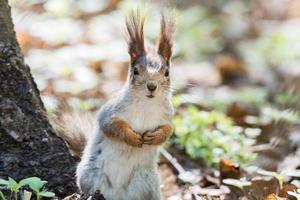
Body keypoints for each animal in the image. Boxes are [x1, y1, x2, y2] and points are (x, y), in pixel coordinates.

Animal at [56, 11, 176, 200]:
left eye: (167, 72)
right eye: (135, 71)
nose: (151, 86)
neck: (146, 104)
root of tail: (118, 195)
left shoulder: (167, 116)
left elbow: (168, 130)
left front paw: (155, 137)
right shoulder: (111, 111)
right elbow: (111, 126)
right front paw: (132, 138)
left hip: (147, 179)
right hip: (91, 174)